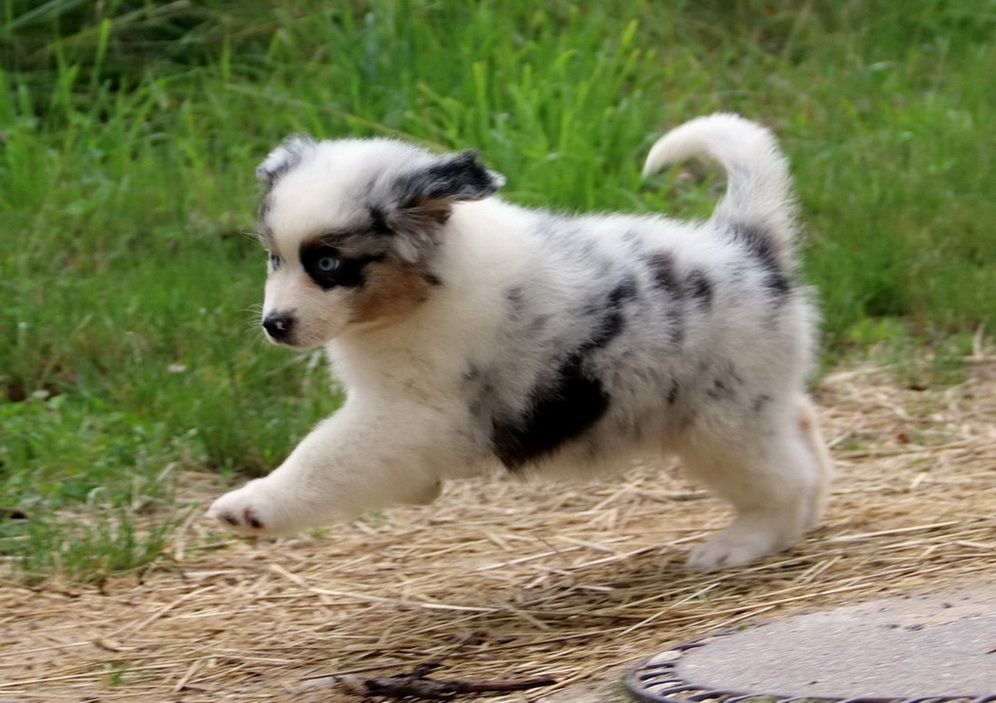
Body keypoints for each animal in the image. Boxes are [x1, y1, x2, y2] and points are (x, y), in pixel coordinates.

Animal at [207, 113, 833, 570]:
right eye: (274, 258)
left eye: (327, 264)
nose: (274, 324)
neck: (425, 290)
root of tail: (747, 245)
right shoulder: (396, 412)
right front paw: (417, 491)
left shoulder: (410, 413)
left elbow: (324, 455)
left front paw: (252, 504)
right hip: (752, 404)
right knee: (802, 429)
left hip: (721, 423)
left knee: (782, 481)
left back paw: (739, 544)